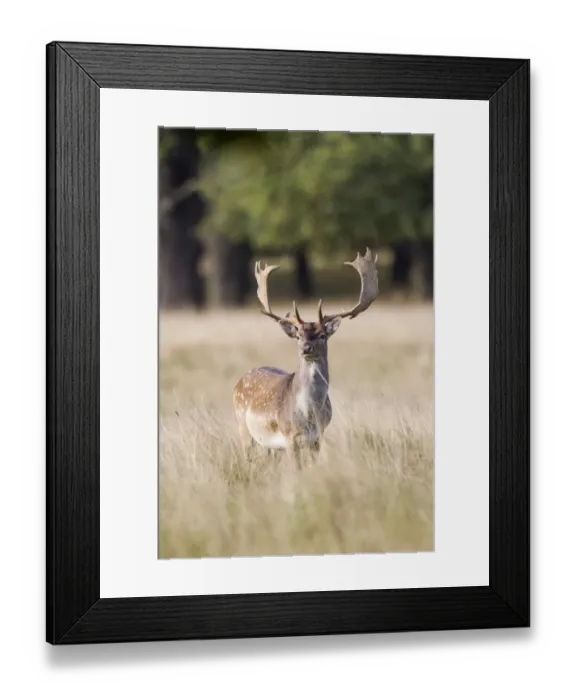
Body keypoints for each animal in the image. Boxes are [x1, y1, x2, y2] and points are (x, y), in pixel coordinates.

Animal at [232, 248, 379, 467]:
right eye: (298, 335)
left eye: (322, 335)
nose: (305, 348)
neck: (309, 414)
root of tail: (239, 381)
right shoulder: (288, 436)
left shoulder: (318, 437)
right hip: (243, 425)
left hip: (267, 444)